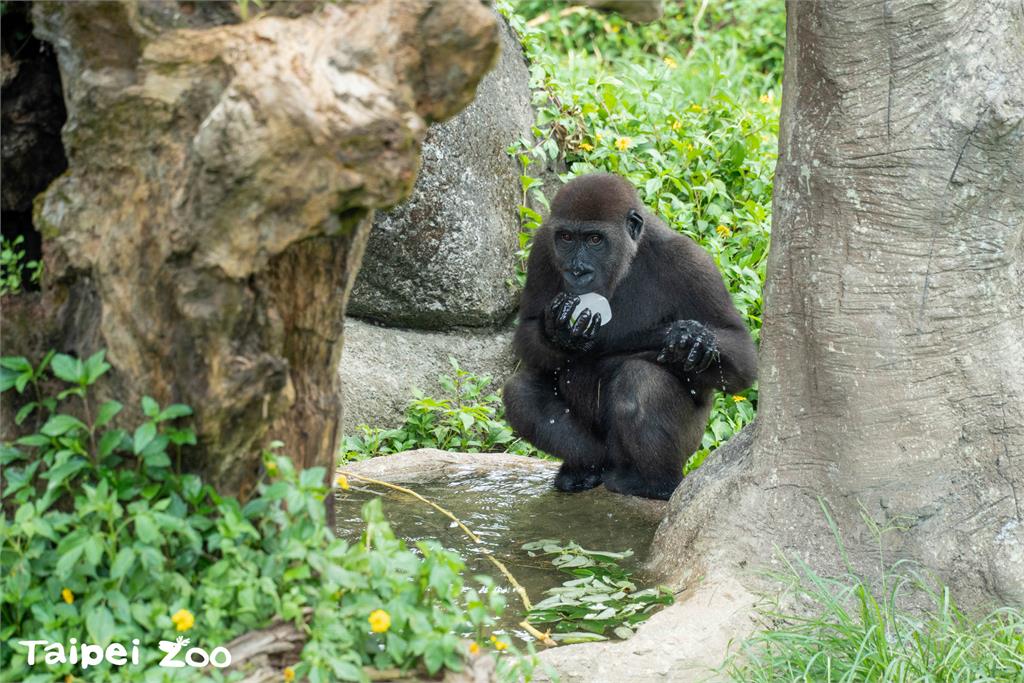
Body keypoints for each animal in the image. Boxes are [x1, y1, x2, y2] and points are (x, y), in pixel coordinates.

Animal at [499, 174, 757, 499]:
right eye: (566, 238)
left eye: (595, 240)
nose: (577, 271)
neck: (630, 255)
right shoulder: (544, 247)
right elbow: (528, 331)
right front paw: (557, 332)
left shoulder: (691, 262)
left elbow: (740, 356)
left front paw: (693, 342)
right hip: (605, 454)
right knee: (521, 394)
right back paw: (585, 468)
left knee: (641, 381)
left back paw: (655, 483)